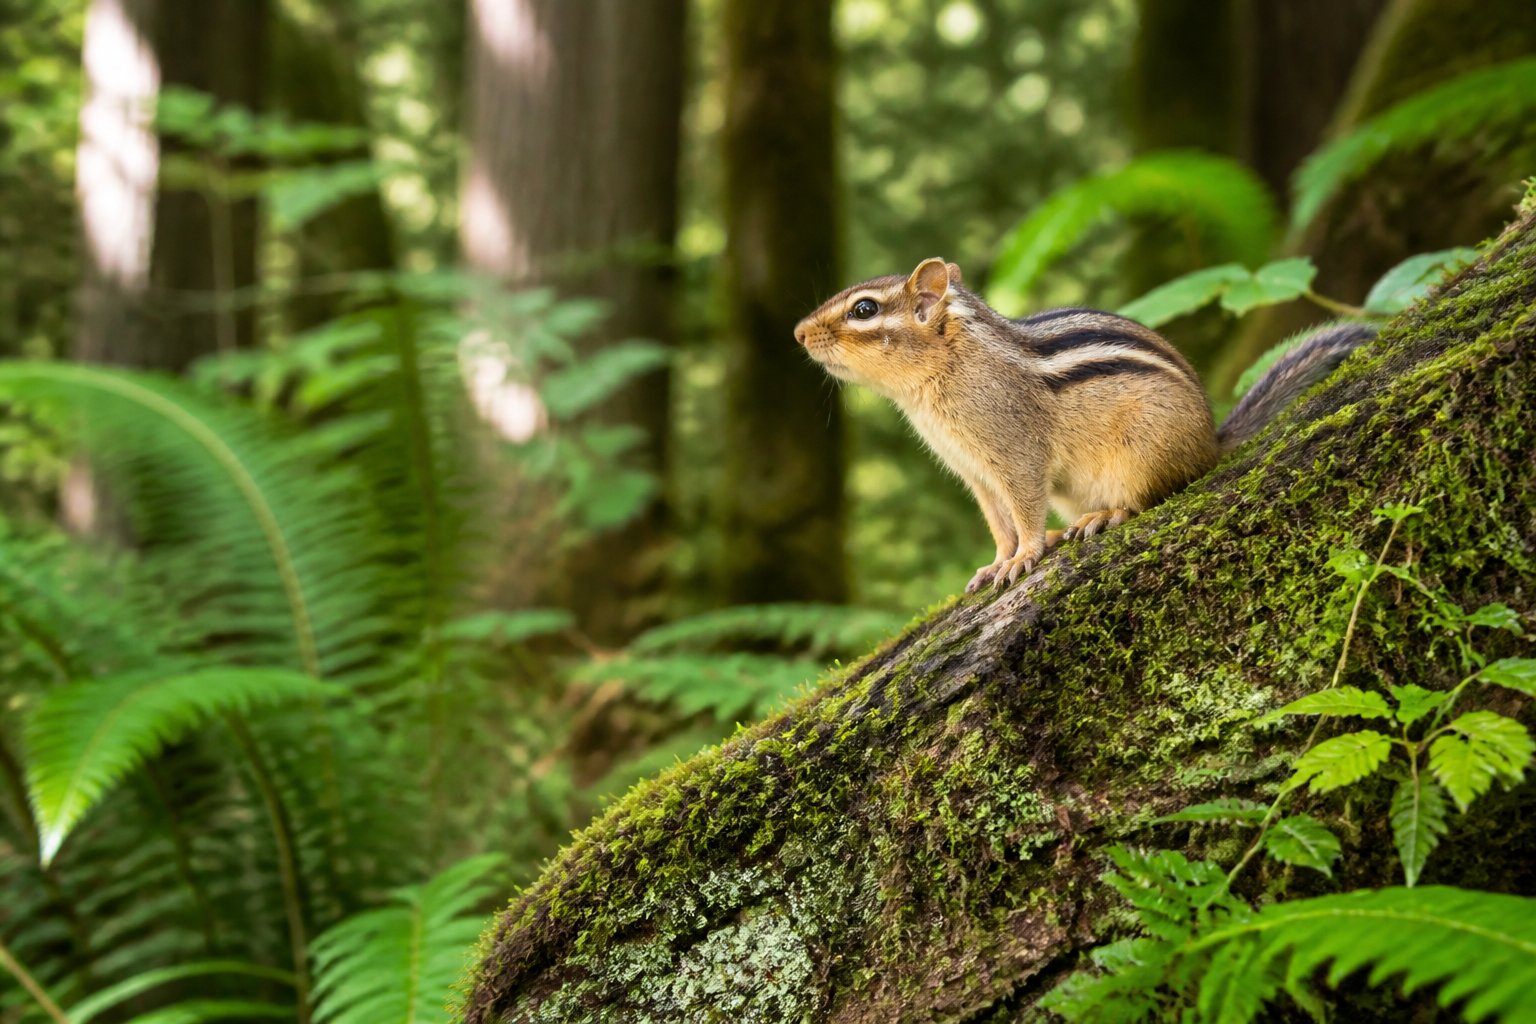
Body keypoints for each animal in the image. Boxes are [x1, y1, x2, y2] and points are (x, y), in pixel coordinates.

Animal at [794, 257, 1373, 594]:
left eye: (864, 309)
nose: (798, 333)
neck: (949, 367)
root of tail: (1211, 442)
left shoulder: (1015, 454)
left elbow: (1024, 510)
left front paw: (1024, 555)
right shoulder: (975, 474)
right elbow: (998, 524)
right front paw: (996, 561)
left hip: (1146, 449)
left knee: (1149, 496)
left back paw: (1106, 515)